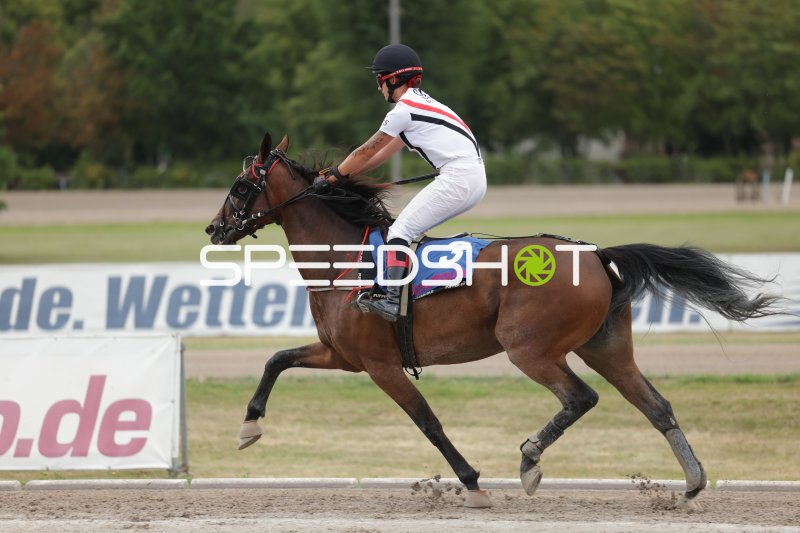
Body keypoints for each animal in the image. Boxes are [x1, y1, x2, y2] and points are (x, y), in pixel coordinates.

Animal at [206, 133, 780, 508]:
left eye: (239, 186)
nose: (214, 228)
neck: (347, 256)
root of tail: (595, 254)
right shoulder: (343, 356)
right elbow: (276, 359)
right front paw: (249, 425)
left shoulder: (380, 365)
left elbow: (429, 423)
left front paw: (472, 480)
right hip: (606, 347)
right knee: (656, 406)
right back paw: (692, 482)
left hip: (528, 347)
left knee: (581, 397)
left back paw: (529, 461)